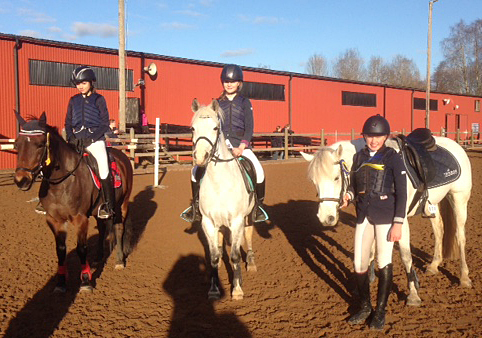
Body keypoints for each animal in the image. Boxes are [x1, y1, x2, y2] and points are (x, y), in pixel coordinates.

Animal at [13, 112, 134, 292]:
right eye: (17, 144)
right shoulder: (54, 220)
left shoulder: (80, 219)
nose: (21, 180)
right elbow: (61, 250)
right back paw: (98, 258)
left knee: (119, 228)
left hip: (122, 205)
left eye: (40, 145)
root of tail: (123, 156)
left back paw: (119, 261)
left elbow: (81, 249)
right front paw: (61, 282)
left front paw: (85, 281)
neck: (63, 182)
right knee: (102, 230)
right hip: (98, 211)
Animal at [190, 99, 256, 300]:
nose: (200, 158)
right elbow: (213, 256)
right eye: (192, 128)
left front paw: (237, 289)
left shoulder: (237, 220)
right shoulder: (208, 221)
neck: (219, 183)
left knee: (248, 235)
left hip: (248, 216)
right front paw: (213, 289)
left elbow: (234, 256)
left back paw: (251, 262)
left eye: (215, 127)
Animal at [304, 135, 472, 306]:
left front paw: (413, 294)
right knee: (439, 231)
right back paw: (434, 265)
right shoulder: (368, 218)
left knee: (460, 236)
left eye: (336, 178)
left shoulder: (400, 222)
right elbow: (370, 251)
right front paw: (366, 281)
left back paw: (464, 277)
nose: (326, 218)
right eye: (313, 182)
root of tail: (455, 144)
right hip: (433, 205)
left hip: (459, 199)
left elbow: (406, 256)